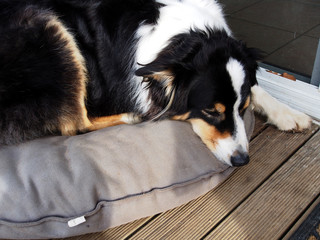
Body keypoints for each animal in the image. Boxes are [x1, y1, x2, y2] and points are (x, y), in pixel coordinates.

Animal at [0, 0, 310, 167]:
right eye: (210, 111)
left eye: (242, 109)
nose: (241, 160)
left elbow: (257, 87)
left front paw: (290, 114)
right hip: (50, 31)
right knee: (75, 124)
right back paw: (130, 117)